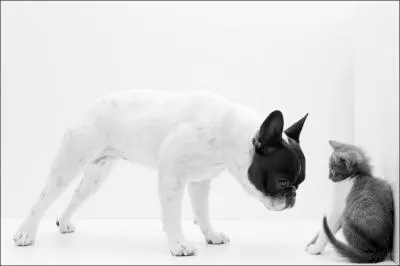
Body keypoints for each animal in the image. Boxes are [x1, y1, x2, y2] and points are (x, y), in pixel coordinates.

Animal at [11, 89, 306, 256]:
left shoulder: (199, 181)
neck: (227, 134)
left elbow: (202, 212)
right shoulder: (172, 176)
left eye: (300, 182)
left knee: (75, 197)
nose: (293, 197)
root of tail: (92, 106)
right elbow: (173, 215)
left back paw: (63, 222)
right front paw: (179, 244)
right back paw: (25, 233)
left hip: (96, 176)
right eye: (282, 181)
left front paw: (210, 235)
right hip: (69, 162)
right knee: (41, 201)